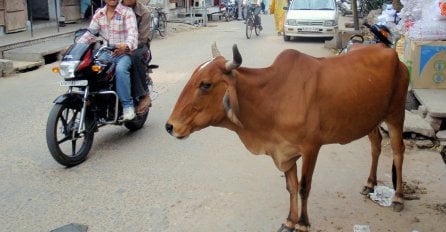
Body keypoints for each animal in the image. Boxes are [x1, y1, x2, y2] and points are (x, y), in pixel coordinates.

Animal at [166, 43, 410, 230]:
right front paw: (290, 221)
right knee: (376, 144)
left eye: (205, 84)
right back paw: (370, 184)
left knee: (398, 151)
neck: (273, 96)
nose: (170, 126)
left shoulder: (311, 147)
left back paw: (398, 197)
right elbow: (291, 187)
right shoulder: (284, 150)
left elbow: (303, 187)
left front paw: (302, 223)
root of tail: (391, 52)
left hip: (396, 114)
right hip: (370, 118)